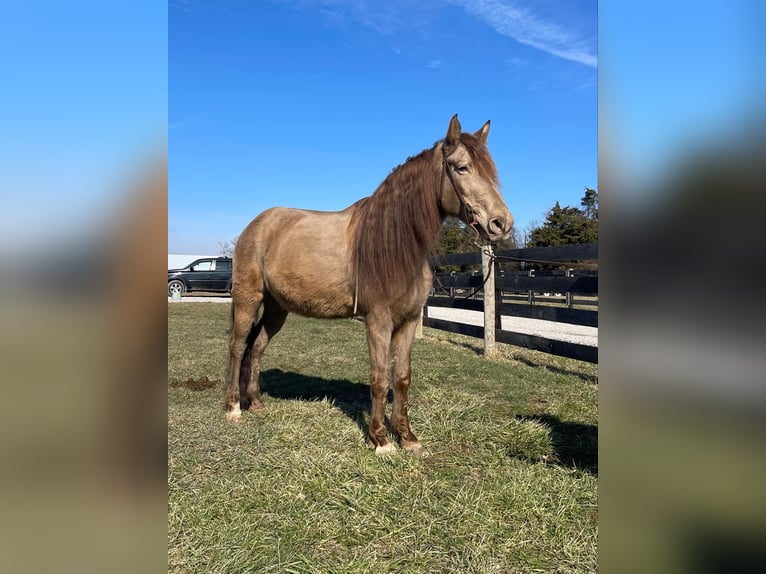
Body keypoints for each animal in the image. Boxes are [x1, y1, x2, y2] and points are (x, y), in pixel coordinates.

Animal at [225, 114, 513, 457]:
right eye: (461, 168)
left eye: (491, 170)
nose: (502, 224)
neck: (395, 245)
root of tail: (256, 224)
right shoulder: (378, 320)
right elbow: (379, 378)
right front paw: (381, 440)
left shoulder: (408, 321)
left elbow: (401, 378)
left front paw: (408, 438)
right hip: (249, 298)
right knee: (238, 345)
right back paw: (233, 408)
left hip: (276, 309)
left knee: (256, 347)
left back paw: (255, 402)